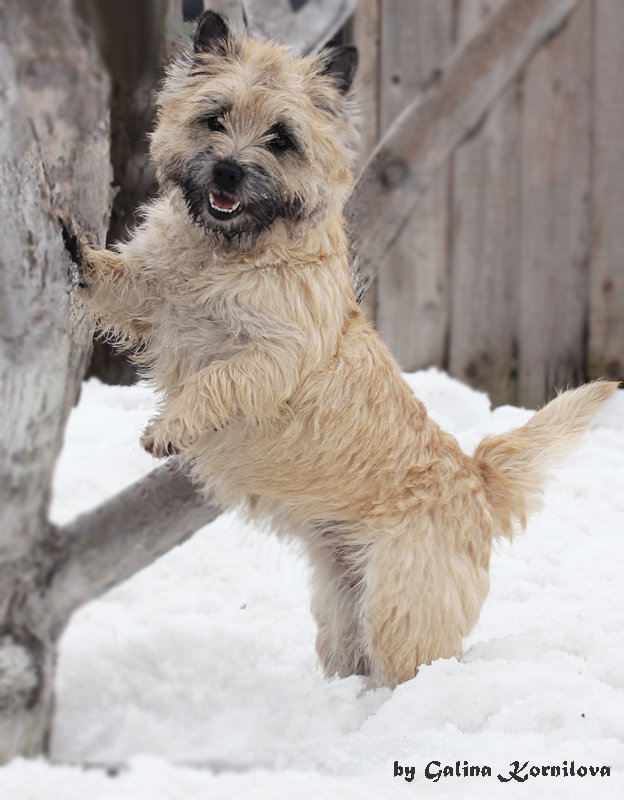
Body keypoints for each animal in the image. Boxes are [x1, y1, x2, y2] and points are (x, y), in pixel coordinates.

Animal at [79, 10, 620, 688]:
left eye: (281, 139)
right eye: (215, 117)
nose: (226, 171)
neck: (230, 249)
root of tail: (476, 482)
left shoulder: (275, 355)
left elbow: (218, 380)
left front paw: (169, 428)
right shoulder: (152, 299)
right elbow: (114, 280)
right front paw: (75, 255)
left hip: (400, 607)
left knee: (416, 669)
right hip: (343, 598)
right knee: (351, 654)